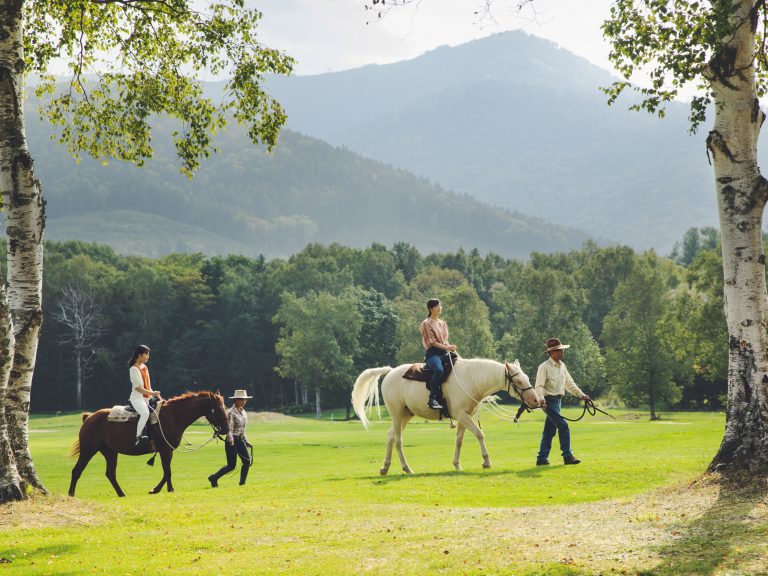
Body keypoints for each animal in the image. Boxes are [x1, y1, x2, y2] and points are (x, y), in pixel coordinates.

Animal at [69, 394, 228, 498]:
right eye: (218, 409)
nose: (226, 429)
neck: (173, 416)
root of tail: (89, 417)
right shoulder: (165, 450)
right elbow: (167, 472)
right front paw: (168, 489)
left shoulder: (168, 451)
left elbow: (166, 471)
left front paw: (157, 489)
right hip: (88, 450)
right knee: (77, 471)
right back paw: (71, 494)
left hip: (110, 452)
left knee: (110, 474)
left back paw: (121, 493)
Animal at [352, 358, 540, 474]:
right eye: (519, 381)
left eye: (526, 378)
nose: (536, 400)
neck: (470, 380)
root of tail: (391, 372)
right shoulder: (462, 415)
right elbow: (480, 434)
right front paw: (486, 462)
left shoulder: (465, 417)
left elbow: (459, 441)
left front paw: (457, 465)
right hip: (397, 414)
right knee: (398, 440)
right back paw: (406, 468)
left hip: (406, 415)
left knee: (390, 436)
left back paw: (385, 467)